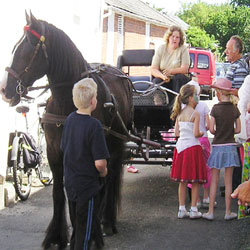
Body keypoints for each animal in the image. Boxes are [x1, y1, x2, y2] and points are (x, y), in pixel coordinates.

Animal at [0, 12, 133, 250]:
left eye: (25, 50)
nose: (5, 91)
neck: (69, 103)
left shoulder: (92, 154)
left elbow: (90, 192)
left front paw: (86, 235)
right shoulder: (56, 153)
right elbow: (60, 194)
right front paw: (57, 237)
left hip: (115, 147)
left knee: (108, 181)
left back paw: (106, 222)